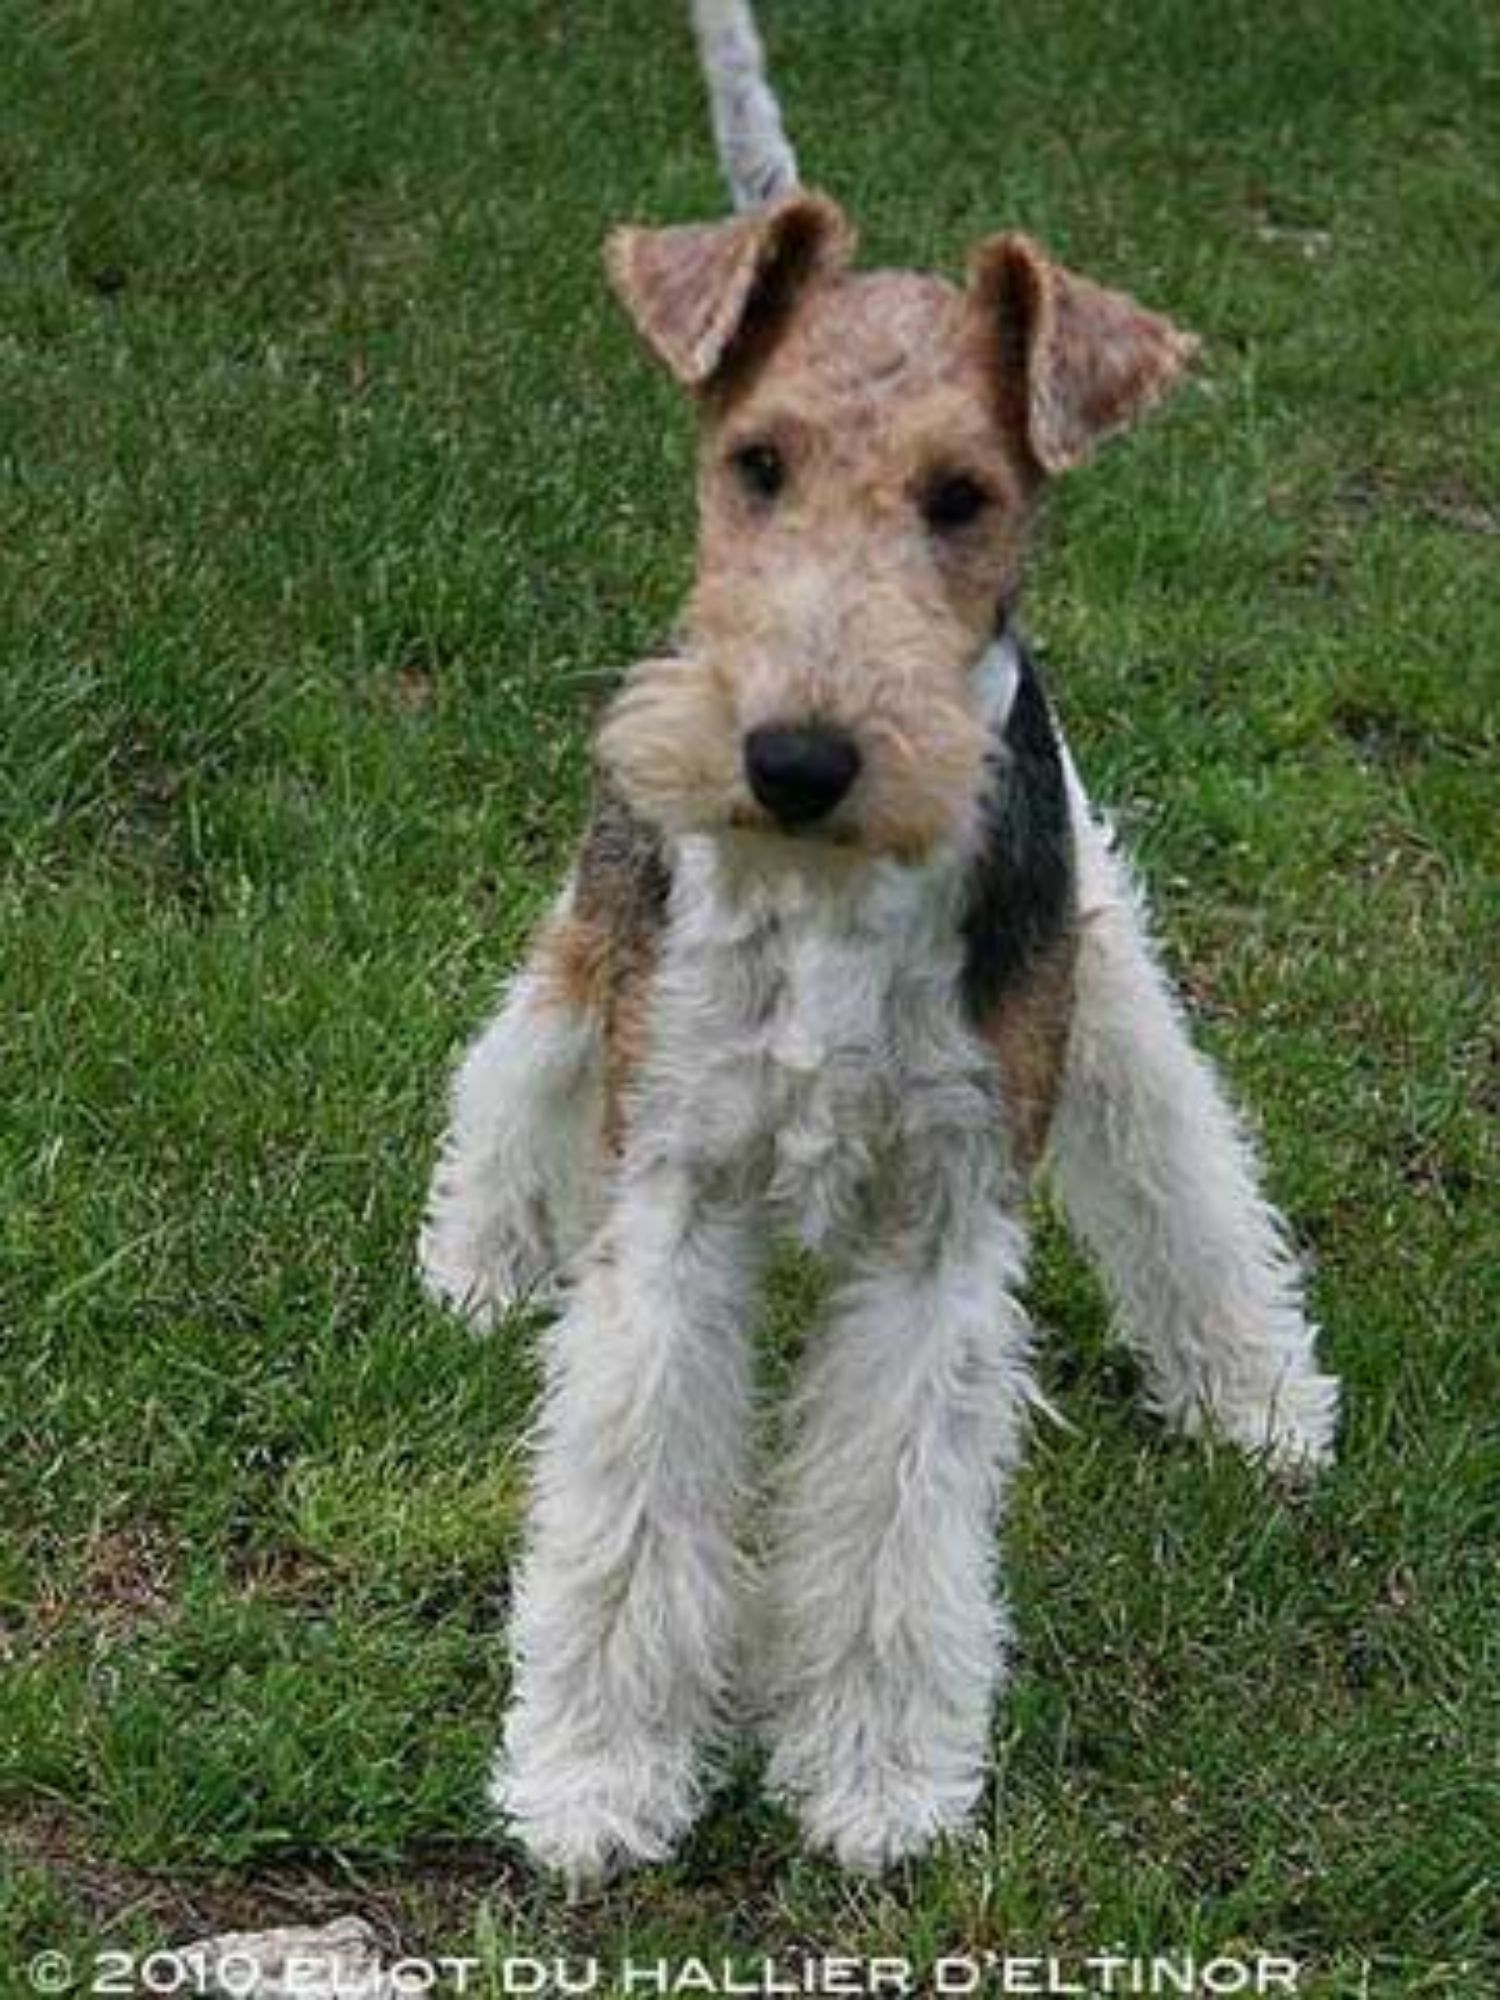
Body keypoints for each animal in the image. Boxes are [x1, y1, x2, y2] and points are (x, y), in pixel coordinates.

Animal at [418, 0, 1340, 1885]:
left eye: (964, 497)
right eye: (756, 464)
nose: (795, 757)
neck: (828, 898)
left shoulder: (939, 1218)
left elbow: (892, 1535)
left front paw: (873, 1782)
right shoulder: (674, 1198)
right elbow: (630, 1514)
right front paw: (595, 1782)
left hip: (1103, 966)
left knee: (1181, 1167)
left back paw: (1257, 1394)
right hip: (601, 921)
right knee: (518, 1058)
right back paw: (477, 1263)